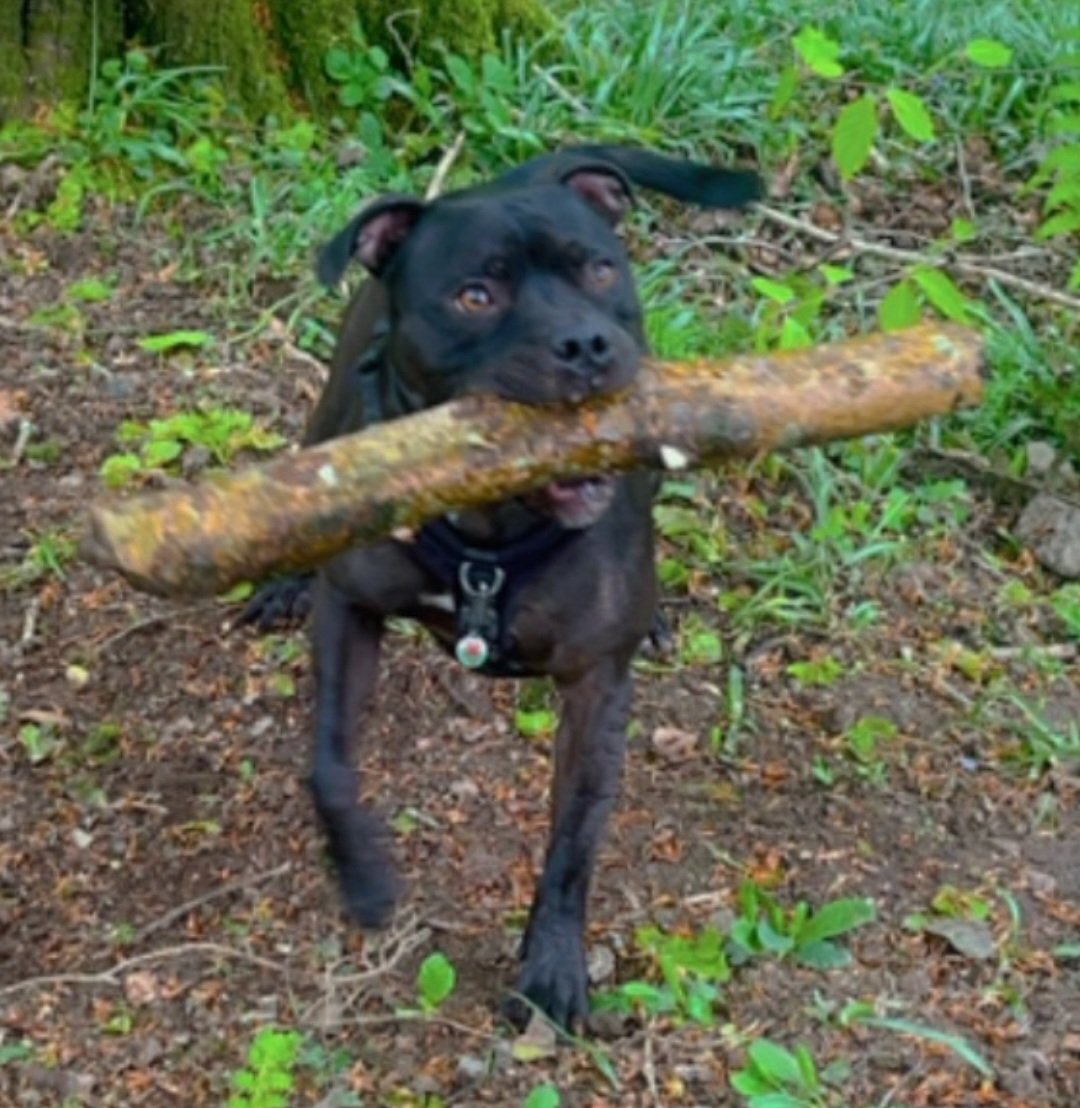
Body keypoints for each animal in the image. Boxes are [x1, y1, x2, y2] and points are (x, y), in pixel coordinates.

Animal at [252, 149, 762, 1028]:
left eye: (600, 270)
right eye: (475, 296)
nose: (586, 343)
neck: (489, 536)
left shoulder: (596, 690)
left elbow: (574, 842)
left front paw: (553, 963)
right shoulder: (349, 612)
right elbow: (329, 766)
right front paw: (363, 875)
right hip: (328, 418)